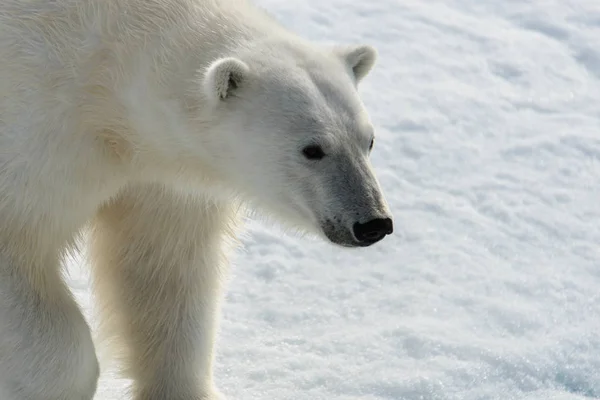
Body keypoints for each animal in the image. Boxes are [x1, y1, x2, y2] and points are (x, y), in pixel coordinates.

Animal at [0, 0, 394, 398]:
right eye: (312, 149)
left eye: (368, 141)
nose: (373, 222)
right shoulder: (39, 136)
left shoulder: (164, 186)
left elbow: (164, 273)